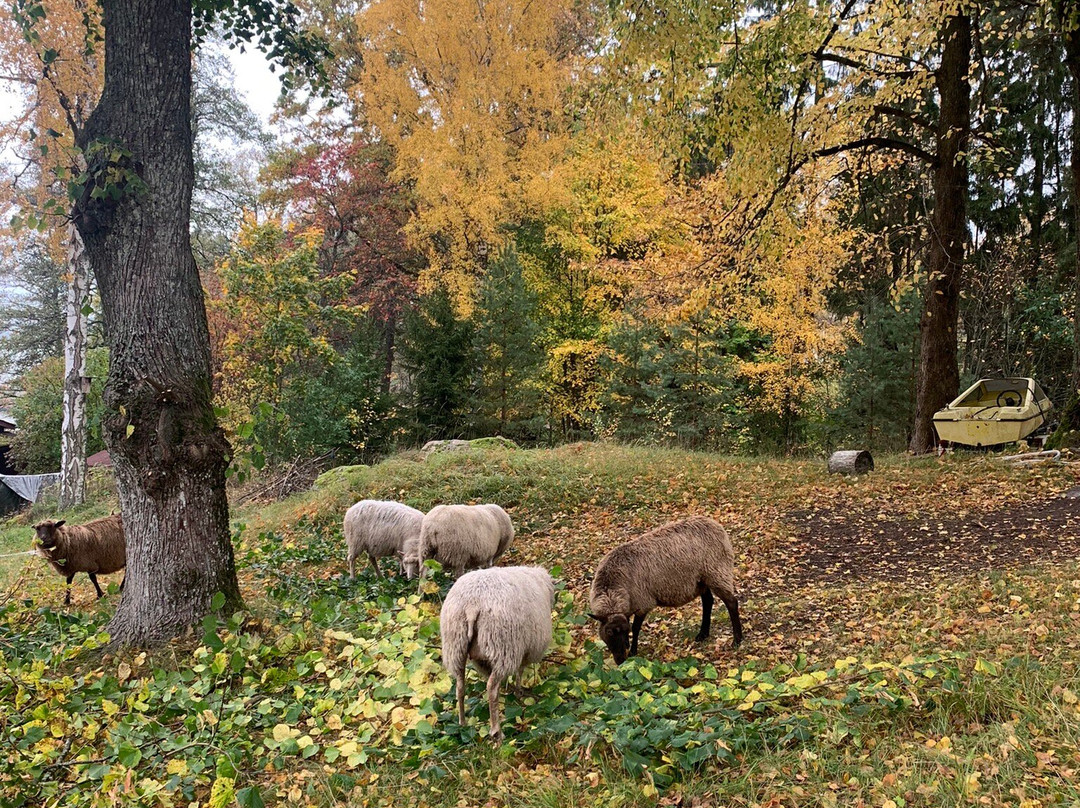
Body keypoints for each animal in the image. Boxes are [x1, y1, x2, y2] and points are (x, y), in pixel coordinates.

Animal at [438, 566, 557, 743]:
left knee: (460, 686)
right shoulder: (525, 649)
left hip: (456, 645)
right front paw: (518, 692)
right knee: (491, 688)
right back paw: (497, 732)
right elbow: (520, 671)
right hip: (503, 647)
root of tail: (472, 604)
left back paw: (462, 723)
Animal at [591, 518, 743, 661]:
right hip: (702, 580)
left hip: (717, 572)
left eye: (624, 631)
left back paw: (737, 640)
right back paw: (702, 635)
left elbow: (636, 628)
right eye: (609, 632)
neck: (613, 587)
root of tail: (717, 526)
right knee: (708, 602)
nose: (621, 660)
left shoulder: (643, 602)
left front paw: (633, 653)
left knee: (731, 603)